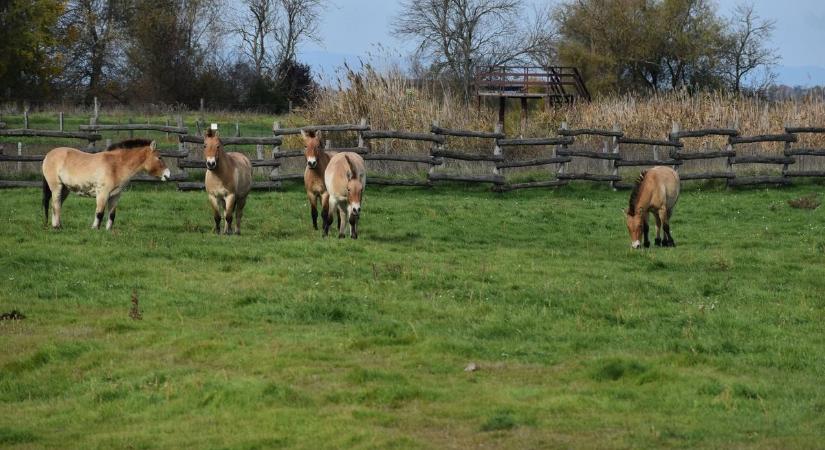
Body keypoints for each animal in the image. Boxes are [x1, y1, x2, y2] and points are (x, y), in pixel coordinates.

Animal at [43, 137, 171, 230]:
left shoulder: (115, 195)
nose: (168, 175)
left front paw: (108, 230)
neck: (115, 166)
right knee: (55, 204)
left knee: (57, 204)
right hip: (56, 187)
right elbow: (99, 213)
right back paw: (57, 227)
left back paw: (58, 225)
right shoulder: (102, 194)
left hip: (65, 189)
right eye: (159, 157)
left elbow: (112, 215)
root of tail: (48, 155)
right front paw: (95, 228)